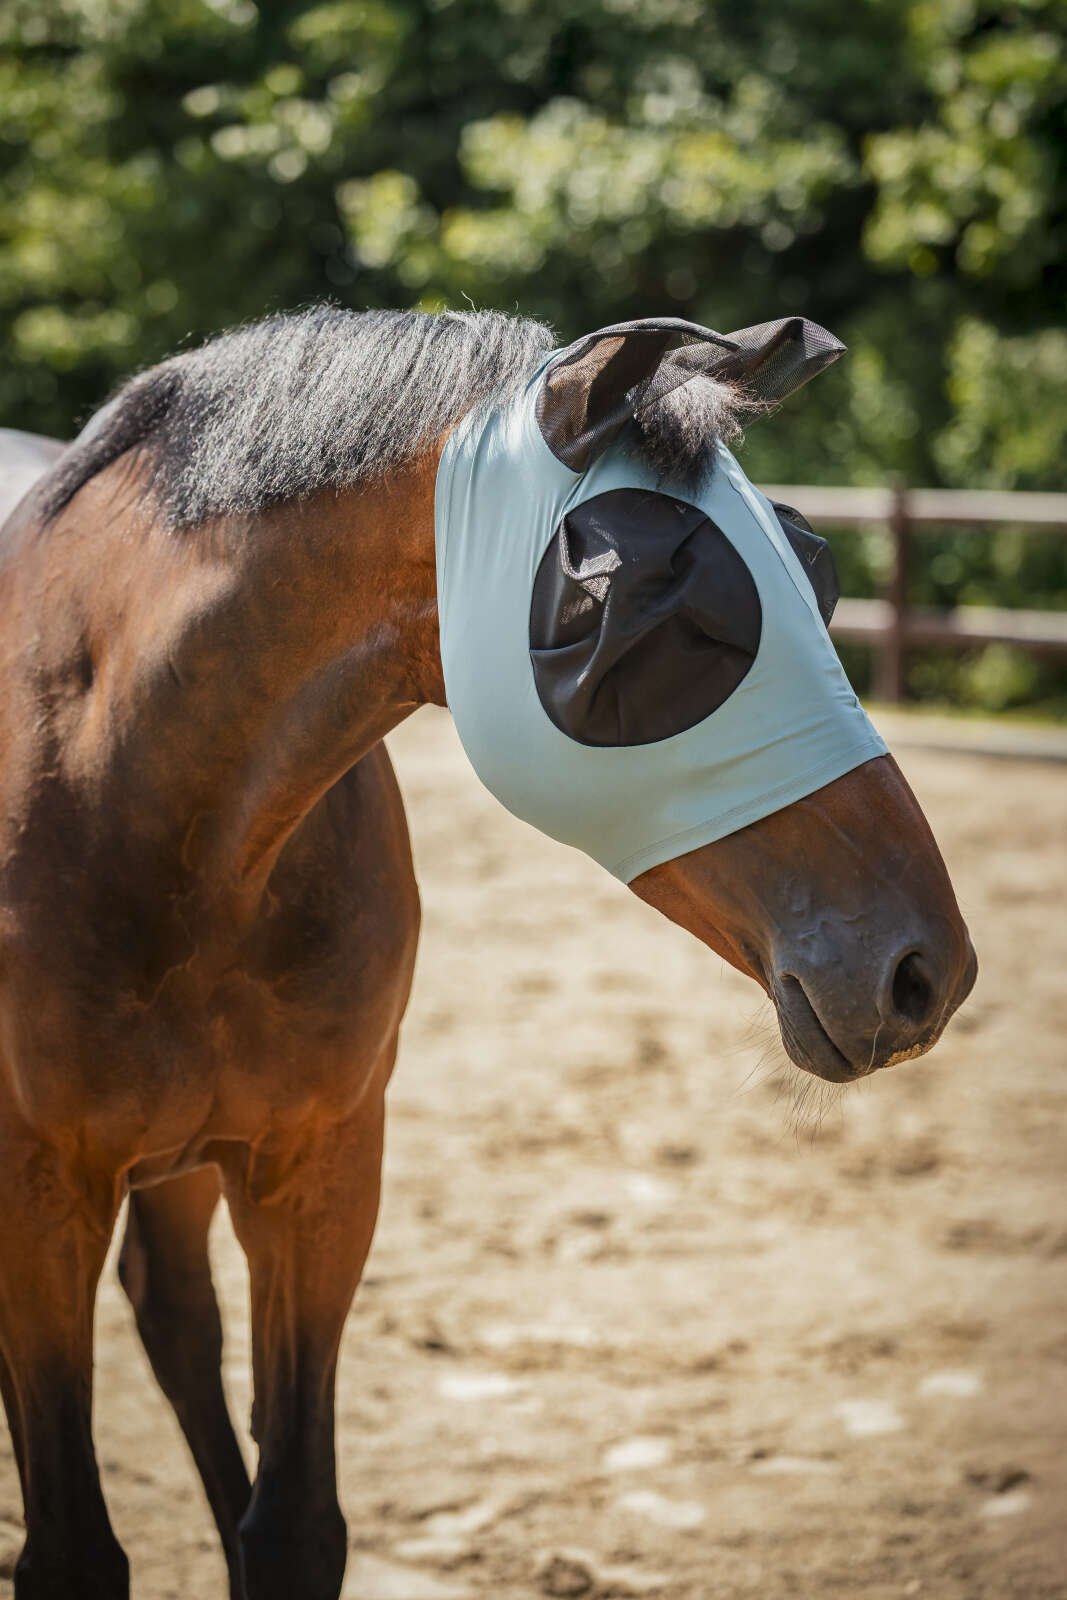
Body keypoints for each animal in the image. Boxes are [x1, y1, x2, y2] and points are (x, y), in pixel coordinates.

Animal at [0, 306, 976, 1600]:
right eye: (639, 607)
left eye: (811, 567)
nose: (925, 970)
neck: (137, 794)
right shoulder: (38, 1192)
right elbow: (70, 1547)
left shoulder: (318, 1167)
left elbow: (292, 1520)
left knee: (174, 1319)